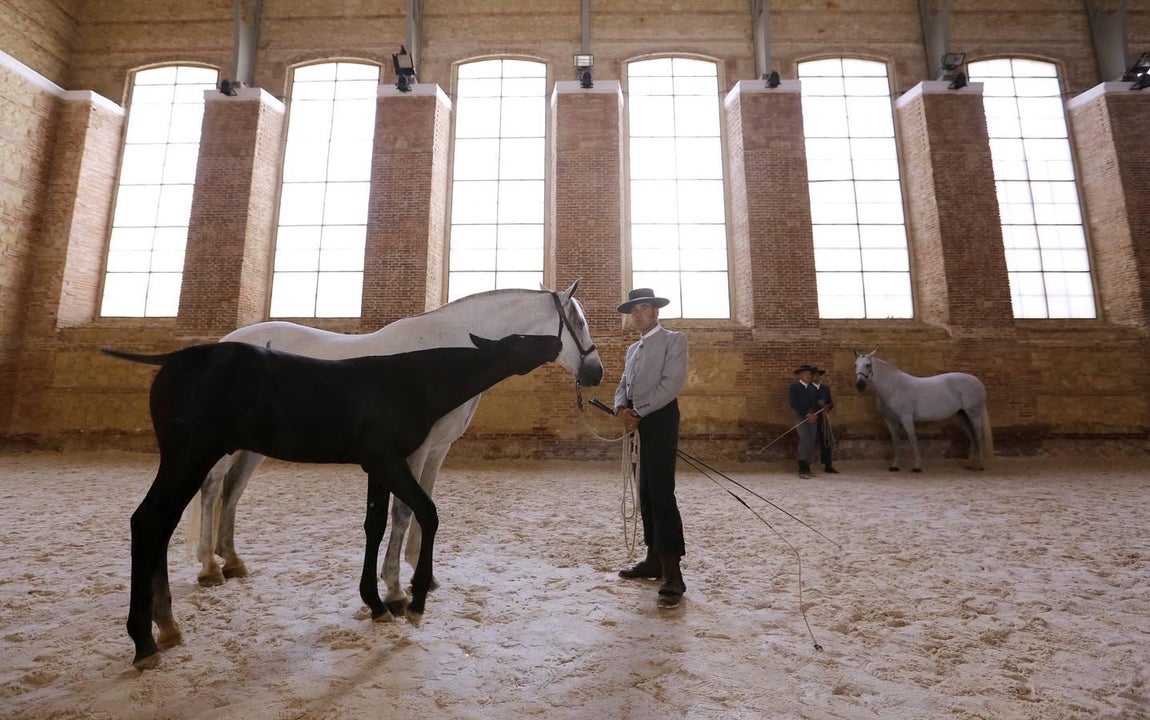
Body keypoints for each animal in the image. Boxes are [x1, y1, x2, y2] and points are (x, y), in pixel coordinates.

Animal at [104, 332, 563, 669]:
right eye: (521, 340)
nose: (555, 342)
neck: (411, 382)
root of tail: (171, 360)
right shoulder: (389, 461)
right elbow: (427, 514)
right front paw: (414, 601)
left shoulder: (378, 466)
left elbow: (375, 525)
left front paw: (377, 603)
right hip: (190, 456)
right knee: (148, 522)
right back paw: (144, 640)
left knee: (160, 526)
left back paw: (166, 625)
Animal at [191, 281, 603, 616]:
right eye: (580, 323)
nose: (596, 373)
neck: (443, 354)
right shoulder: (409, 454)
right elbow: (404, 512)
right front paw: (393, 590)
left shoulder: (437, 449)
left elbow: (425, 503)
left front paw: (422, 577)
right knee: (212, 489)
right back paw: (209, 567)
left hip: (255, 447)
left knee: (233, 489)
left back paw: (232, 560)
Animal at [853, 350, 993, 472]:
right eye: (855, 364)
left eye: (868, 365)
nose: (859, 384)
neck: (894, 388)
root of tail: (977, 381)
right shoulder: (890, 420)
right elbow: (896, 441)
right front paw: (895, 466)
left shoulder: (906, 418)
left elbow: (913, 440)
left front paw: (916, 467)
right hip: (962, 415)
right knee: (971, 436)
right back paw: (970, 464)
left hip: (974, 414)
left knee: (978, 436)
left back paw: (979, 465)